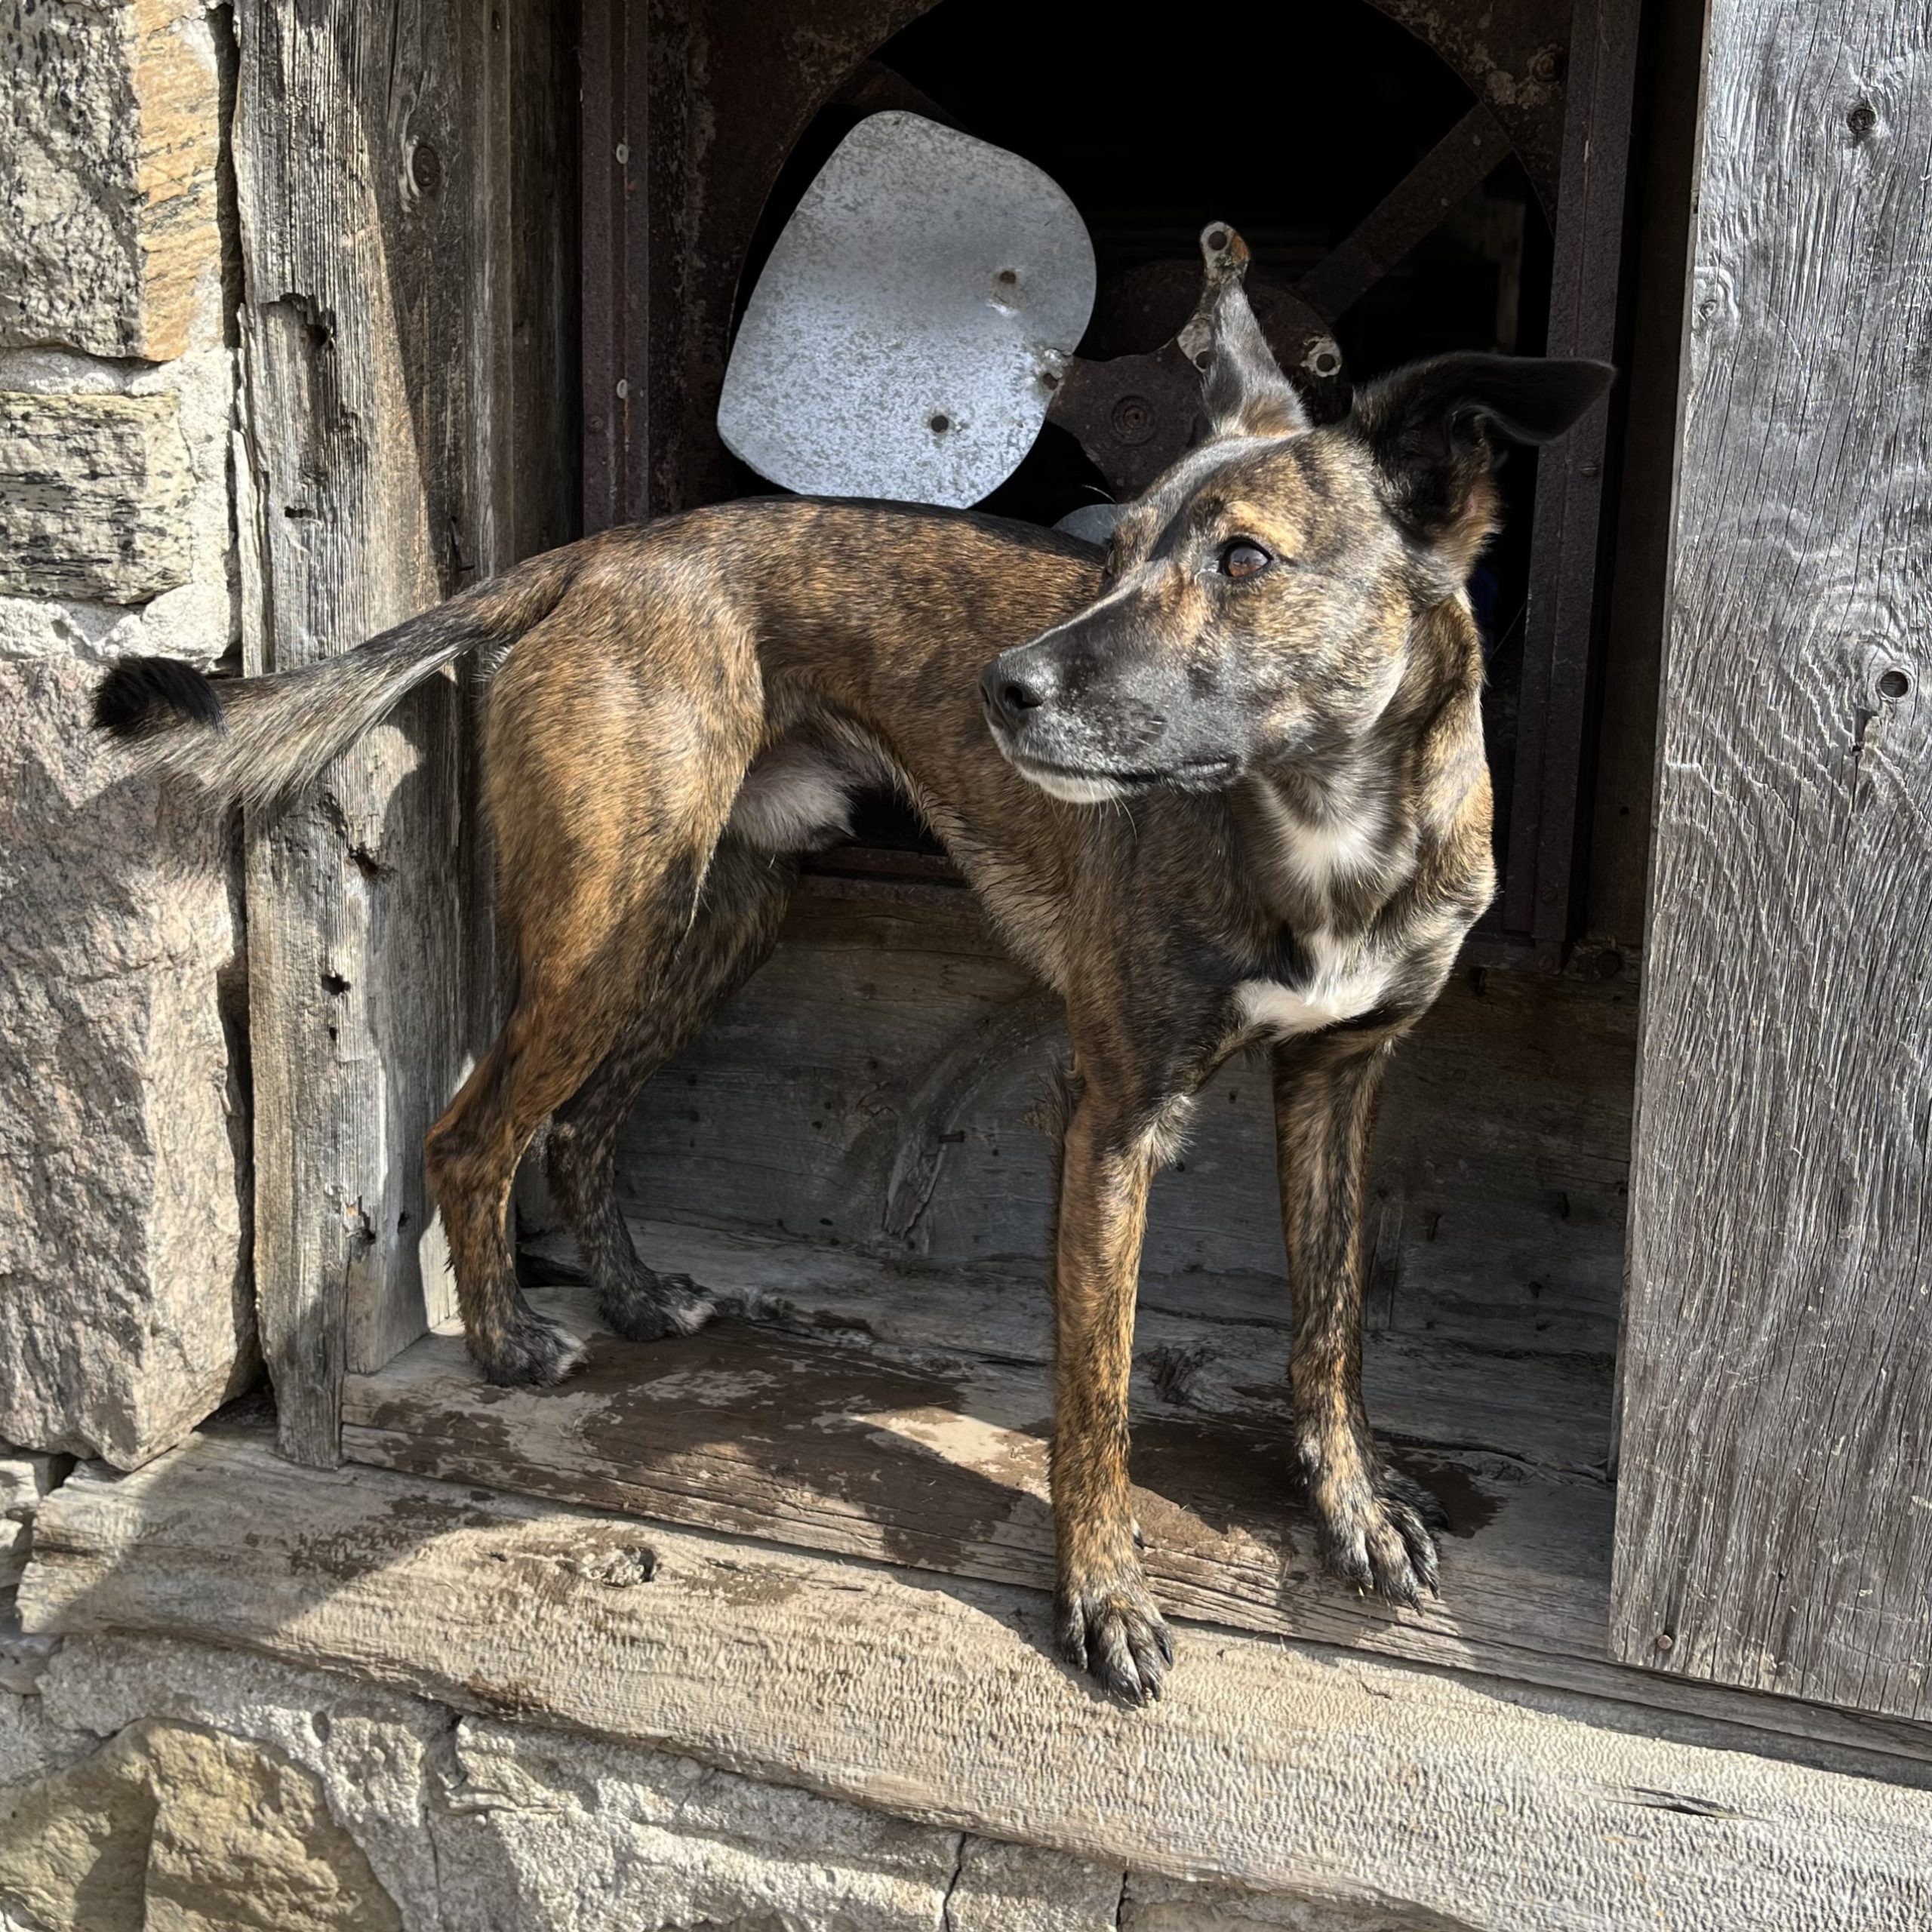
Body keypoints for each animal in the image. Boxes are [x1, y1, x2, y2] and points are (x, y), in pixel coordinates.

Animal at [94, 226, 1611, 1703]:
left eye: (1244, 562)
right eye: (1113, 550)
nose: (1005, 687)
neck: (1324, 823)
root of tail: (590, 558)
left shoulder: (1337, 1084)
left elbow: (1330, 1329)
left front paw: (1351, 1509)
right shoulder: (1114, 1117)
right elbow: (1098, 1393)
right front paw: (1104, 1594)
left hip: (709, 922)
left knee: (580, 1125)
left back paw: (633, 1296)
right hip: (609, 927)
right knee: (475, 1134)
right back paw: (512, 1343)